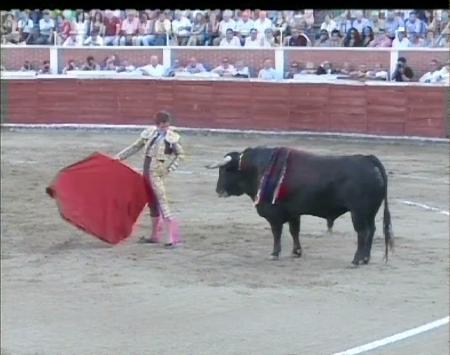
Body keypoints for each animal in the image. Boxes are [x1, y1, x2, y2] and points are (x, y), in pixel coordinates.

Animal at [205, 146, 394, 266]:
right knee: (371, 230)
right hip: (369, 212)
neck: (257, 168)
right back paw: (365, 259)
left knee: (363, 232)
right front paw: (296, 252)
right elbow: (294, 231)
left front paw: (274, 253)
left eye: (225, 170)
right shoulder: (293, 213)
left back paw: (356, 260)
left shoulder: (274, 213)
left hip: (358, 212)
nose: (218, 190)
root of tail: (368, 160)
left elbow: (277, 233)